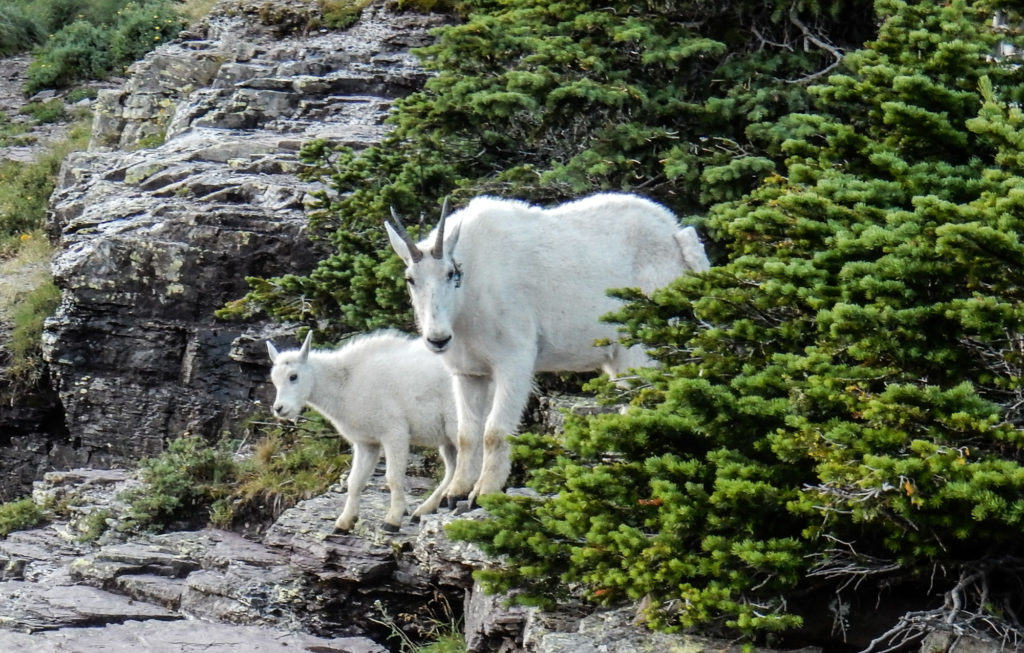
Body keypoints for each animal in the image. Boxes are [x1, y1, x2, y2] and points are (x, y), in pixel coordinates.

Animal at [385, 192, 712, 503]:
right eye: (410, 279)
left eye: (451, 273)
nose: (437, 339)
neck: (468, 296)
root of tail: (677, 237)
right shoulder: (468, 373)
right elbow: (467, 434)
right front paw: (455, 493)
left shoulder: (514, 361)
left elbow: (495, 431)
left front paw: (484, 492)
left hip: (643, 345)